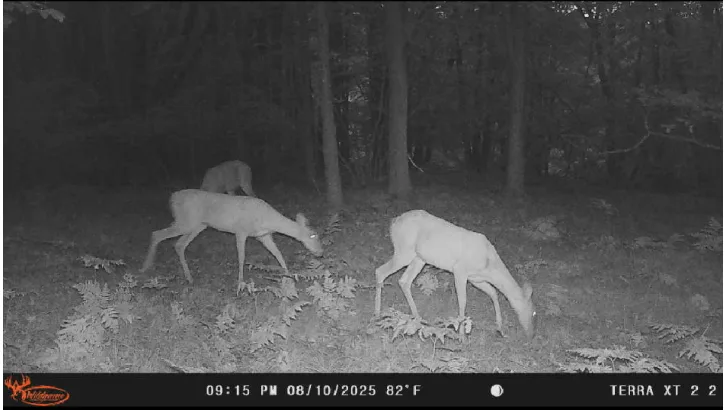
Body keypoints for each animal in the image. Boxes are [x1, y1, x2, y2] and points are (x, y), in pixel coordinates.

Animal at [140, 189, 323, 295]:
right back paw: (146, 266)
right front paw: (240, 285)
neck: (267, 219)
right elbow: (241, 257)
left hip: (198, 225)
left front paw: (289, 276)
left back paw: (189, 278)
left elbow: (278, 253)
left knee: (179, 244)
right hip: (186, 221)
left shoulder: (263, 235)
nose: (321, 252)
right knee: (157, 234)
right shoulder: (241, 231)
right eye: (313, 235)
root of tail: (171, 198)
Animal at [374, 210, 536, 339]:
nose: (530, 334)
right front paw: (462, 336)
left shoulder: (476, 279)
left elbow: (493, 293)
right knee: (380, 271)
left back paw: (418, 318)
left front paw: (500, 328)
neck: (489, 266)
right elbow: (463, 300)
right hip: (404, 251)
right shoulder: (460, 270)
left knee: (404, 281)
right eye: (533, 312)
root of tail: (393, 222)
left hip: (419, 258)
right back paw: (376, 315)